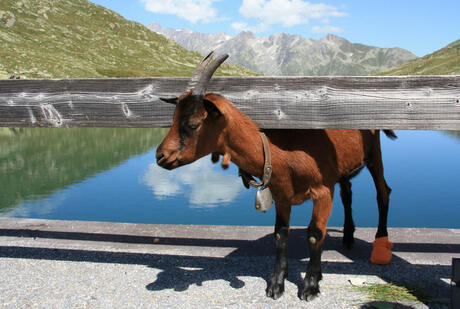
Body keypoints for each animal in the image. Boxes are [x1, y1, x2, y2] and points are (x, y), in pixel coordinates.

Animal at [158, 53, 396, 300]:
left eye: (194, 124)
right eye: (173, 119)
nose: (160, 155)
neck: (280, 151)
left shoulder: (322, 191)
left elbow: (315, 233)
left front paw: (310, 285)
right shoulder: (282, 195)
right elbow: (280, 234)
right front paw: (276, 284)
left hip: (374, 155)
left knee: (383, 192)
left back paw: (380, 242)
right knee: (347, 193)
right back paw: (348, 236)